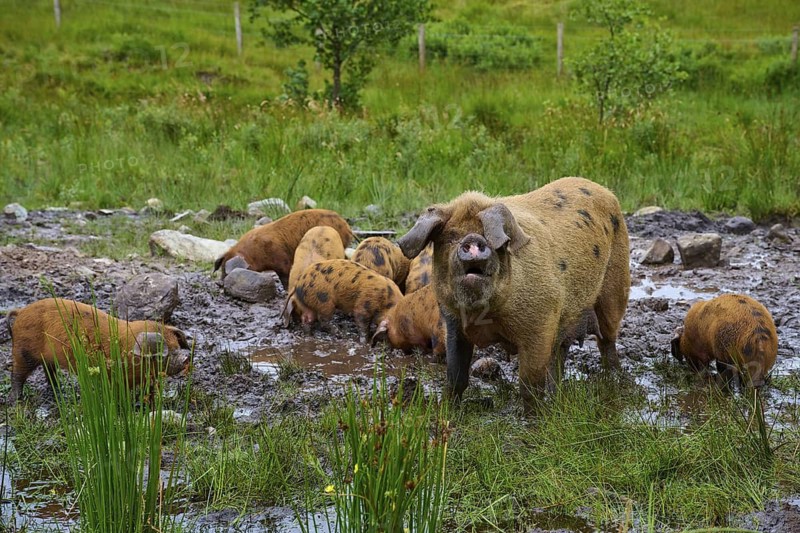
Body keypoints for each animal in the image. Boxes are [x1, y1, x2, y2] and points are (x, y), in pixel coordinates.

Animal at [7, 298, 191, 403]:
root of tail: (21, 311)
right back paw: (16, 400)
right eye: (165, 353)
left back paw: (59, 390)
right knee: (17, 373)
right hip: (23, 350)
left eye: (176, 346)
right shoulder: (114, 377)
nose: (186, 358)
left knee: (49, 371)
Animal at [213, 209, 354, 288]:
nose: (219, 283)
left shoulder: (281, 259)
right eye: (222, 268)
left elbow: (285, 275)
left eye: (229, 271)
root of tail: (347, 227)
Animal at [398, 177, 630, 410]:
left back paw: (616, 378)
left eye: (488, 237)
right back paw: (556, 397)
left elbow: (530, 385)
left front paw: (535, 417)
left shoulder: (541, 324)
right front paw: (447, 409)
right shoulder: (453, 322)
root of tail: (604, 190)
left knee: (607, 339)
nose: (472, 239)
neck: (483, 316)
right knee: (561, 352)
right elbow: (456, 377)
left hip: (617, 286)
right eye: (451, 237)